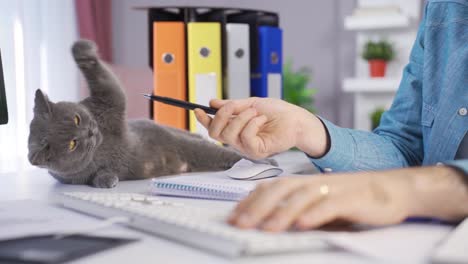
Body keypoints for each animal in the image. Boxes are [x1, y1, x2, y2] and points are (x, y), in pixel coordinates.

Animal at [28, 39, 245, 188]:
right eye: (72, 144)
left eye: (76, 118)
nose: (89, 133)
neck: (101, 145)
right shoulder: (71, 176)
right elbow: (96, 175)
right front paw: (106, 179)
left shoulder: (109, 102)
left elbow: (105, 81)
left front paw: (80, 47)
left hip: (190, 145)